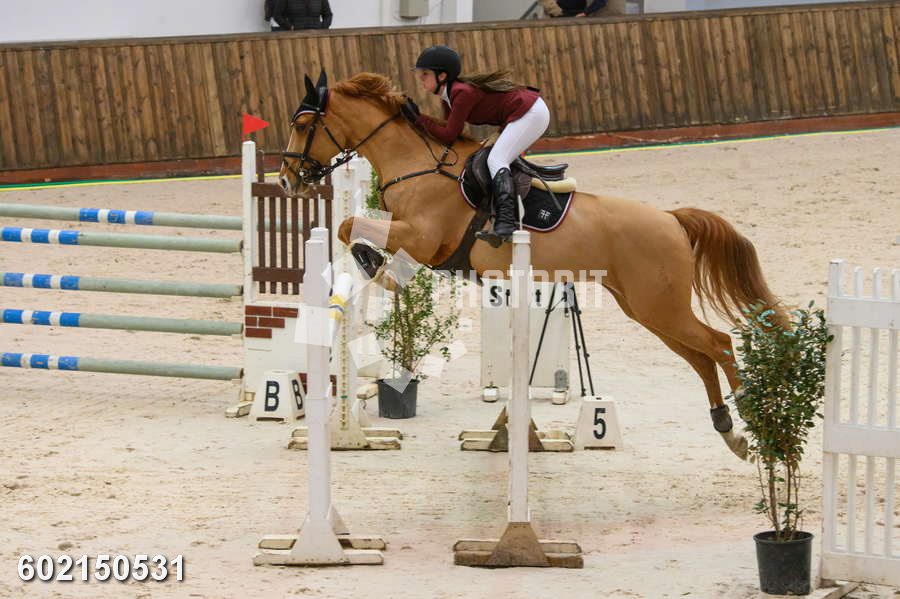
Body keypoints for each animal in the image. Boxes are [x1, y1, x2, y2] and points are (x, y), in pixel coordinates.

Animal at [279, 71, 787, 461]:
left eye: (303, 124)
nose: (285, 180)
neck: (417, 163)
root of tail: (671, 219)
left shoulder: (423, 239)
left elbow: (350, 224)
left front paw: (375, 266)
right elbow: (354, 228)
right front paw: (377, 267)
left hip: (660, 306)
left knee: (718, 343)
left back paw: (747, 411)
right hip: (647, 310)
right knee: (701, 357)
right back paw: (728, 429)